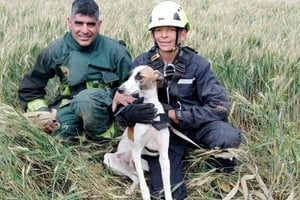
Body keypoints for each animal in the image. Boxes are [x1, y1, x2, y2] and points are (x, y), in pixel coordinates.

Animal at [104, 65, 172, 200]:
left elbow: (167, 187)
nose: (120, 89)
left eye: (140, 76)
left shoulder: (164, 155)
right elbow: (144, 186)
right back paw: (130, 190)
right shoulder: (136, 151)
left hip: (143, 164)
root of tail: (129, 161)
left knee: (136, 177)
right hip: (111, 159)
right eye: (129, 75)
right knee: (137, 178)